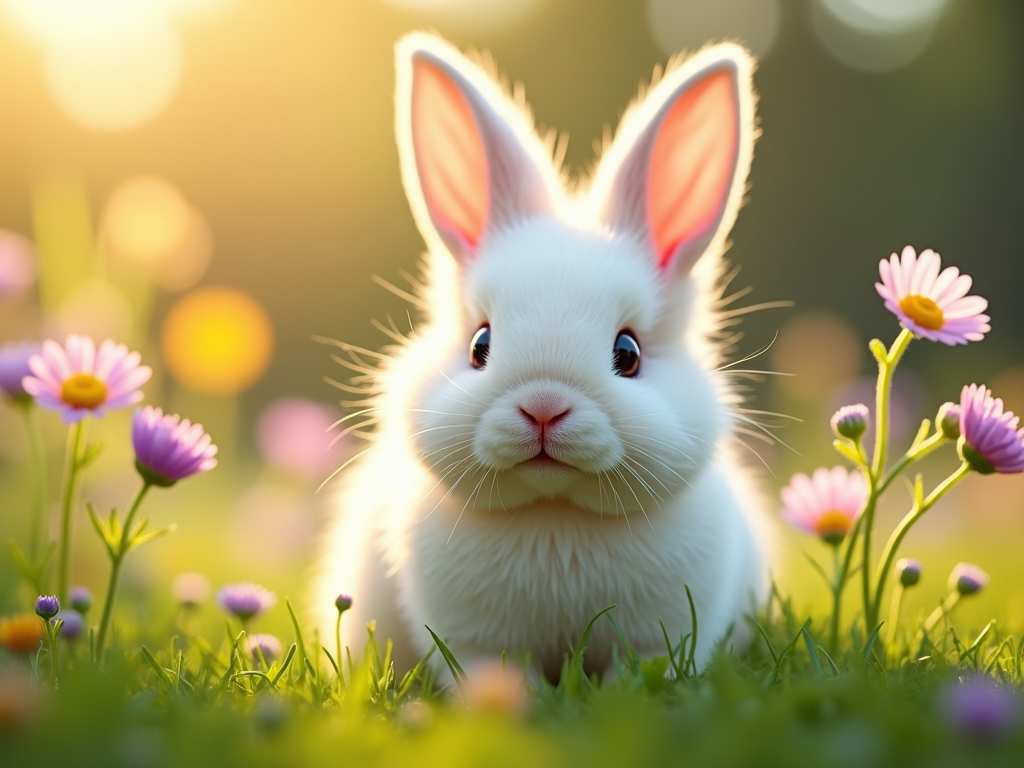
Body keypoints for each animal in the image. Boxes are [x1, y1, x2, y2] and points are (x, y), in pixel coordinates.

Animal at [315, 31, 770, 679]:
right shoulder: (477, 643)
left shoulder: (657, 640)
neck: (555, 515)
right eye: (479, 345)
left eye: (628, 352)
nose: (545, 407)